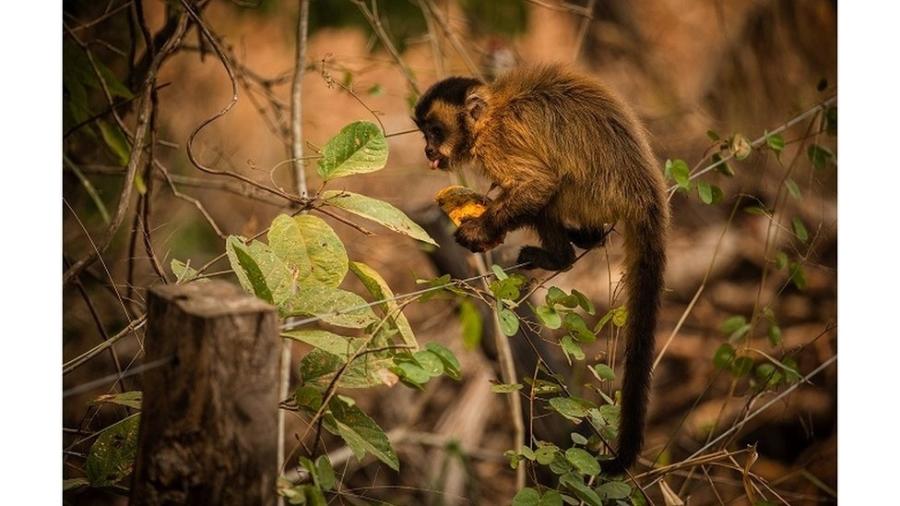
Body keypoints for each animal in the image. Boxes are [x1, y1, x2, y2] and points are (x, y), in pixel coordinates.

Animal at [414, 64, 668, 474]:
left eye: (436, 131)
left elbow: (538, 183)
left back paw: (561, 255)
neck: (491, 118)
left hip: (593, 193)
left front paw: (481, 231)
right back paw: (588, 239)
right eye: (425, 132)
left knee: (552, 190)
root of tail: (645, 193)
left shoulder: (500, 143)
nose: (427, 150)